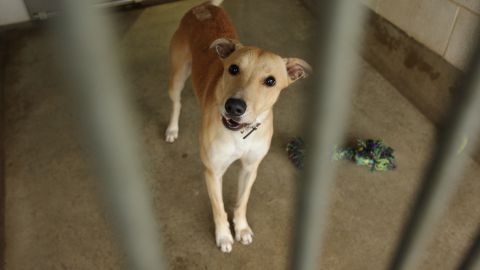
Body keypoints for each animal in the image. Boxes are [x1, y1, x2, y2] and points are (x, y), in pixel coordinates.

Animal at [165, 0, 312, 253]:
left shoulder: (250, 168)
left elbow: (241, 202)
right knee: (177, 102)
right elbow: (218, 208)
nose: (234, 107)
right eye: (233, 69)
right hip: (178, 74)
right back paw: (172, 129)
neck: (240, 133)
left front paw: (241, 228)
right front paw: (224, 235)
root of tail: (202, 6)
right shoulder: (213, 171)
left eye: (270, 81)